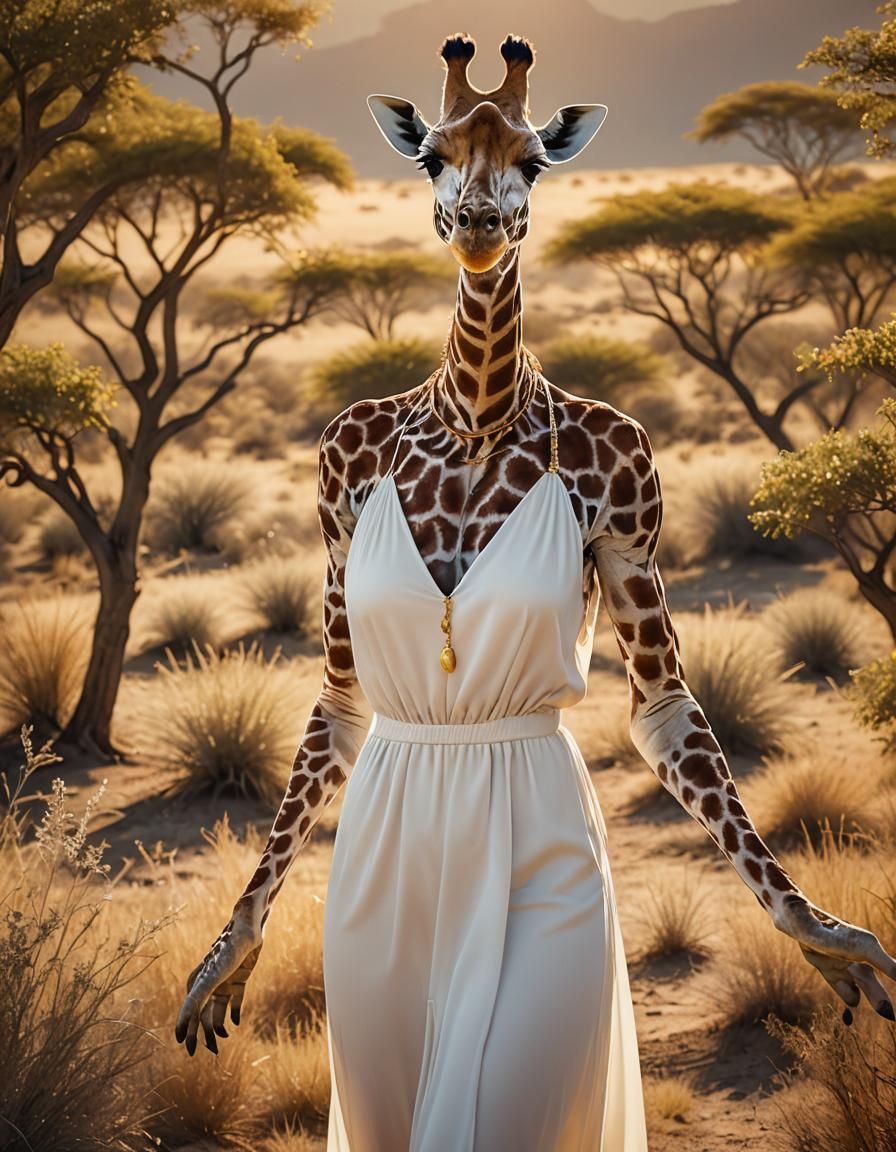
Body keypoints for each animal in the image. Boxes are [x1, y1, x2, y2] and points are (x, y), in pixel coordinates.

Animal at [176, 31, 896, 1058]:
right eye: (432, 156)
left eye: (534, 160)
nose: (479, 222)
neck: (476, 418)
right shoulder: (331, 497)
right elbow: (335, 709)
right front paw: (225, 962)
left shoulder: (636, 503)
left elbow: (666, 711)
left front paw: (829, 944)